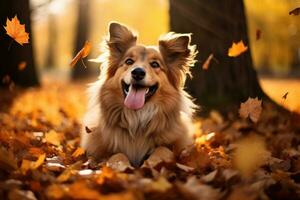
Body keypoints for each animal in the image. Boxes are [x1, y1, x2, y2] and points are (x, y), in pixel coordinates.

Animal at [80, 21, 197, 166]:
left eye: (155, 64)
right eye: (129, 61)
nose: (138, 72)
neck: (137, 117)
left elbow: (163, 150)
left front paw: (151, 163)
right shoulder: (98, 150)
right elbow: (117, 154)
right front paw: (120, 165)